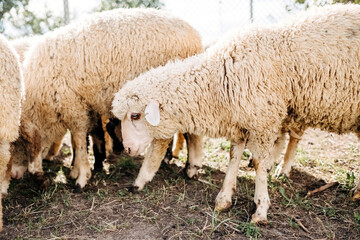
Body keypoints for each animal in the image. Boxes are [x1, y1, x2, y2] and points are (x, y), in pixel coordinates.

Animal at [12, 7, 204, 188]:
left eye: (16, 144)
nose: (13, 175)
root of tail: (195, 35)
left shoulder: (73, 107)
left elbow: (79, 140)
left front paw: (82, 177)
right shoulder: (85, 108)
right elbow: (84, 138)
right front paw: (78, 170)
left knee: (182, 136)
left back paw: (187, 168)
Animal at [112, 4, 360, 224]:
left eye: (135, 115)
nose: (127, 149)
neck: (217, 80)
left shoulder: (262, 121)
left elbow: (259, 162)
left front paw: (260, 208)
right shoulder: (240, 123)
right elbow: (233, 157)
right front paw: (224, 198)